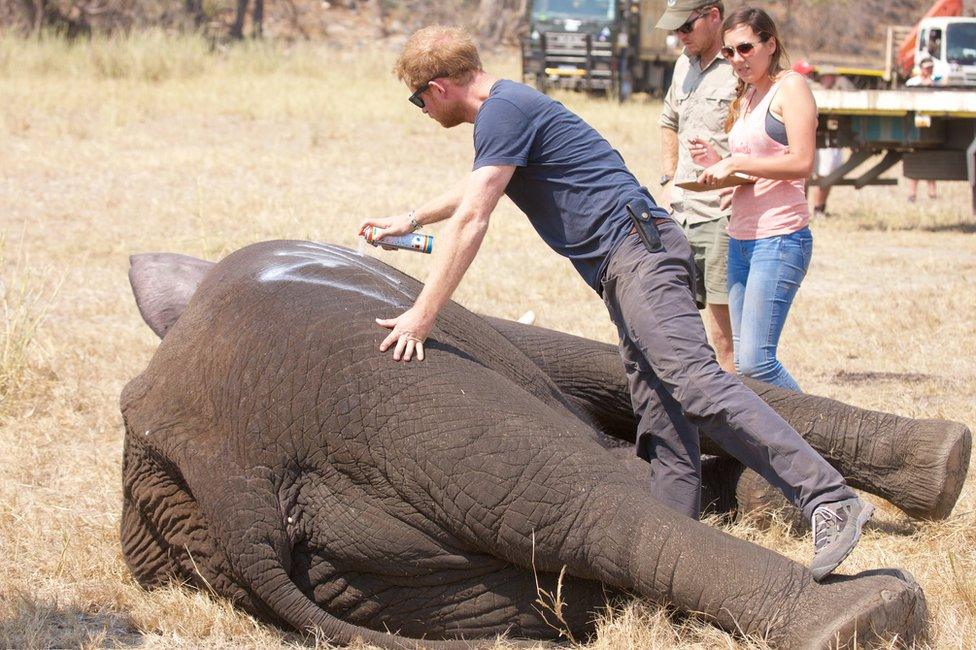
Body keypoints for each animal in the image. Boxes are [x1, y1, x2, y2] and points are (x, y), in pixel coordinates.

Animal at [118, 240, 940, 644]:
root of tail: (232, 485)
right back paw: (871, 616)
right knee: (581, 499)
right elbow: (598, 366)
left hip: (406, 579)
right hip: (383, 389)